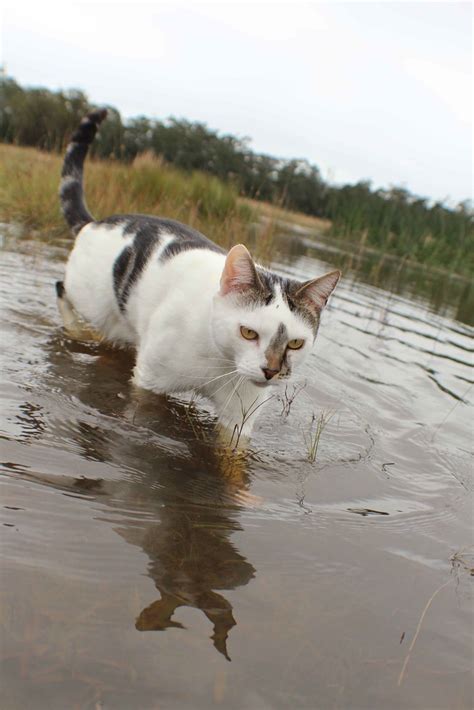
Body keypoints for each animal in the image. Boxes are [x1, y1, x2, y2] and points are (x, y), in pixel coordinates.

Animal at [57, 110, 340, 444]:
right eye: (248, 333)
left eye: (295, 343)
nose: (271, 371)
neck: (220, 360)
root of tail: (94, 222)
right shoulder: (149, 382)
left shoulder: (240, 414)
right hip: (92, 301)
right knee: (61, 288)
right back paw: (76, 330)